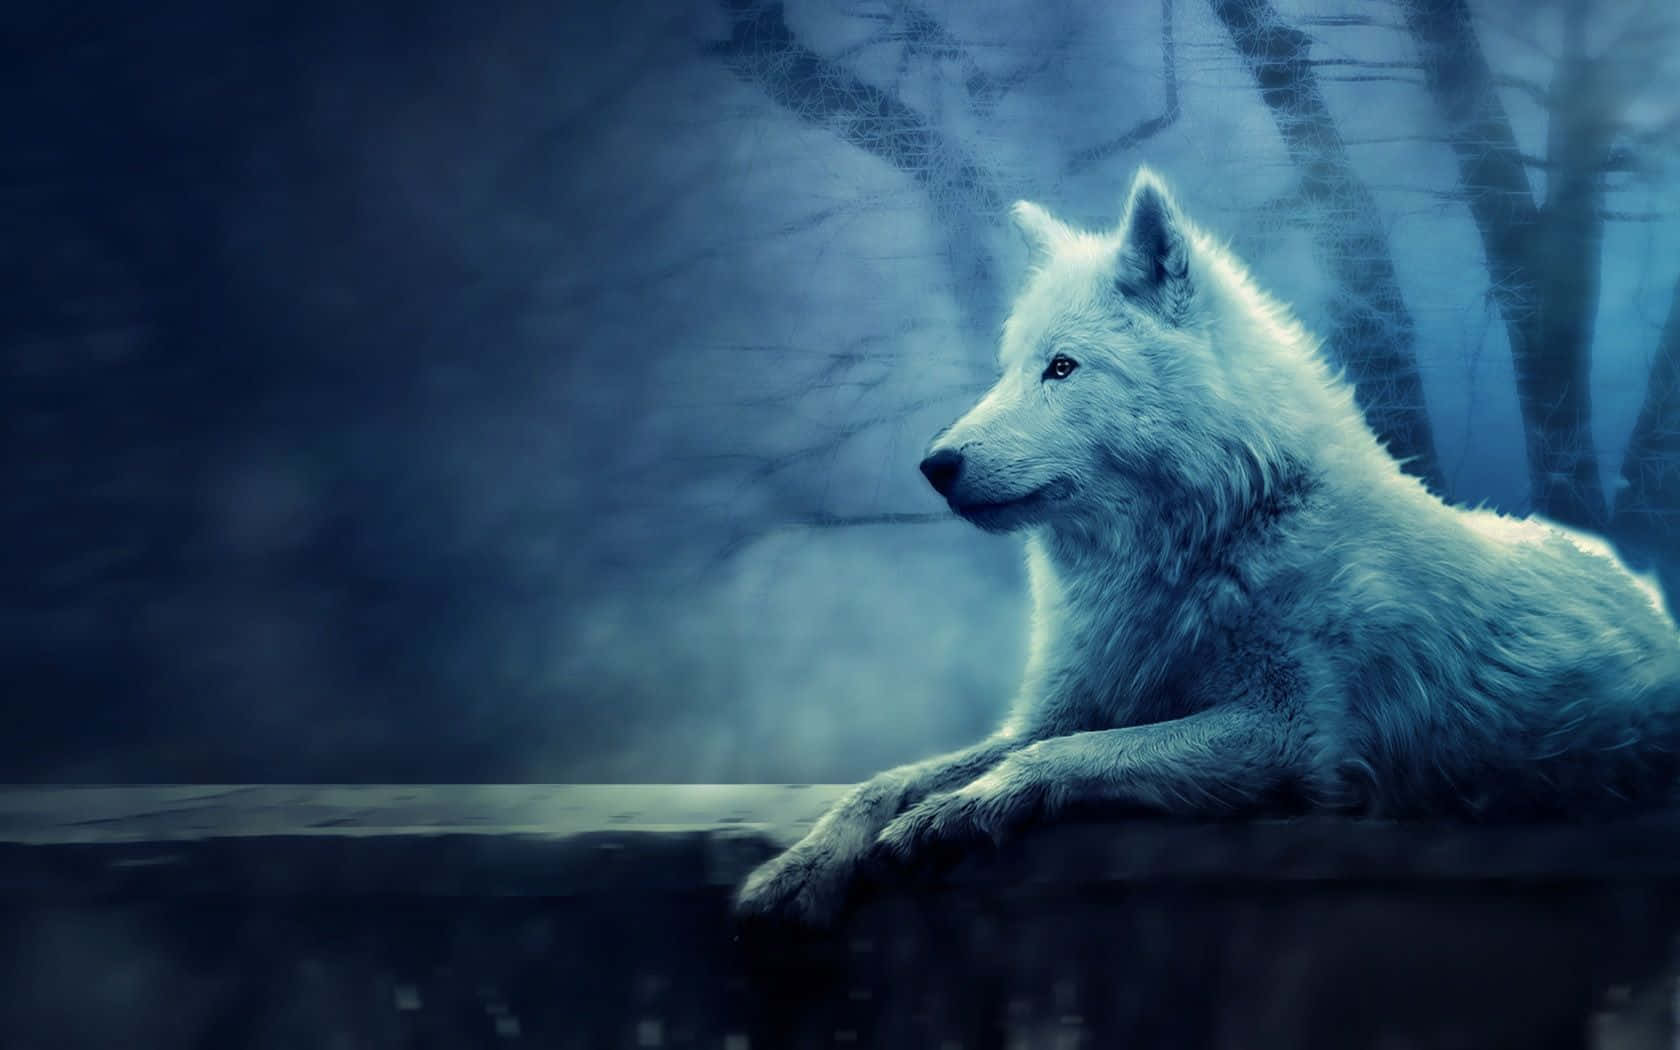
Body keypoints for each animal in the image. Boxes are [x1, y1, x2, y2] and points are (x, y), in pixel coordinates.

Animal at [734, 167, 1680, 925]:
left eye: (1062, 368)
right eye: (1008, 369)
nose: (935, 465)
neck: (1204, 544)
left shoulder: (1293, 737)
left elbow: (1062, 756)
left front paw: (957, 813)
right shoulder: (1069, 705)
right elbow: (888, 779)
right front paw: (800, 870)